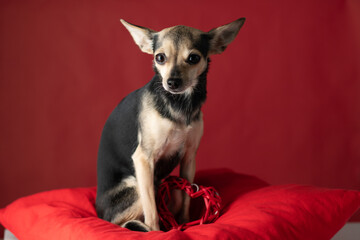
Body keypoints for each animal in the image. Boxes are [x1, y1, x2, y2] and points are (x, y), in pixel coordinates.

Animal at [95, 17, 246, 232]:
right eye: (160, 58)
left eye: (193, 58)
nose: (172, 82)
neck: (179, 103)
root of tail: (99, 212)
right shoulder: (143, 160)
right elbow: (152, 212)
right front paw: (157, 233)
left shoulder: (189, 158)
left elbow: (186, 198)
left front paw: (184, 222)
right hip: (136, 188)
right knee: (120, 222)